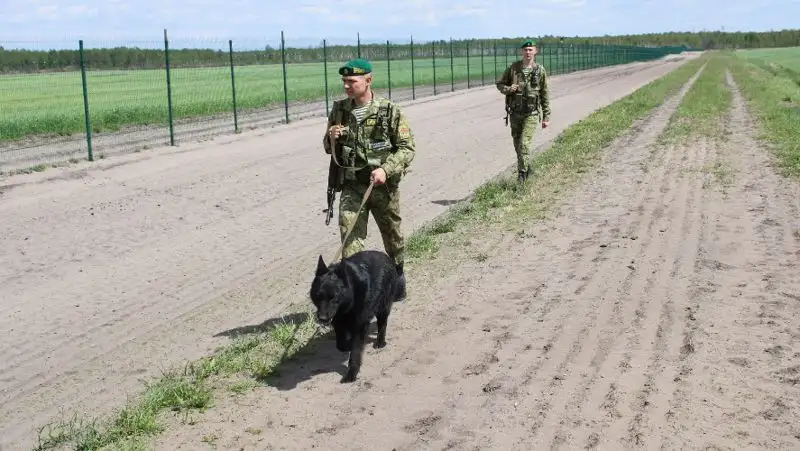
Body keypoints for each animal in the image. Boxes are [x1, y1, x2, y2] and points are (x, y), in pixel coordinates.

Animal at [310, 251, 404, 384]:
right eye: (318, 296)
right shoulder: (338, 322)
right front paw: (347, 345)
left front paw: (351, 373)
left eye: (334, 297)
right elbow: (341, 344)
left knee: (382, 323)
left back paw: (380, 341)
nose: (322, 318)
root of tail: (386, 257)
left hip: (382, 306)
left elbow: (355, 350)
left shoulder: (360, 325)